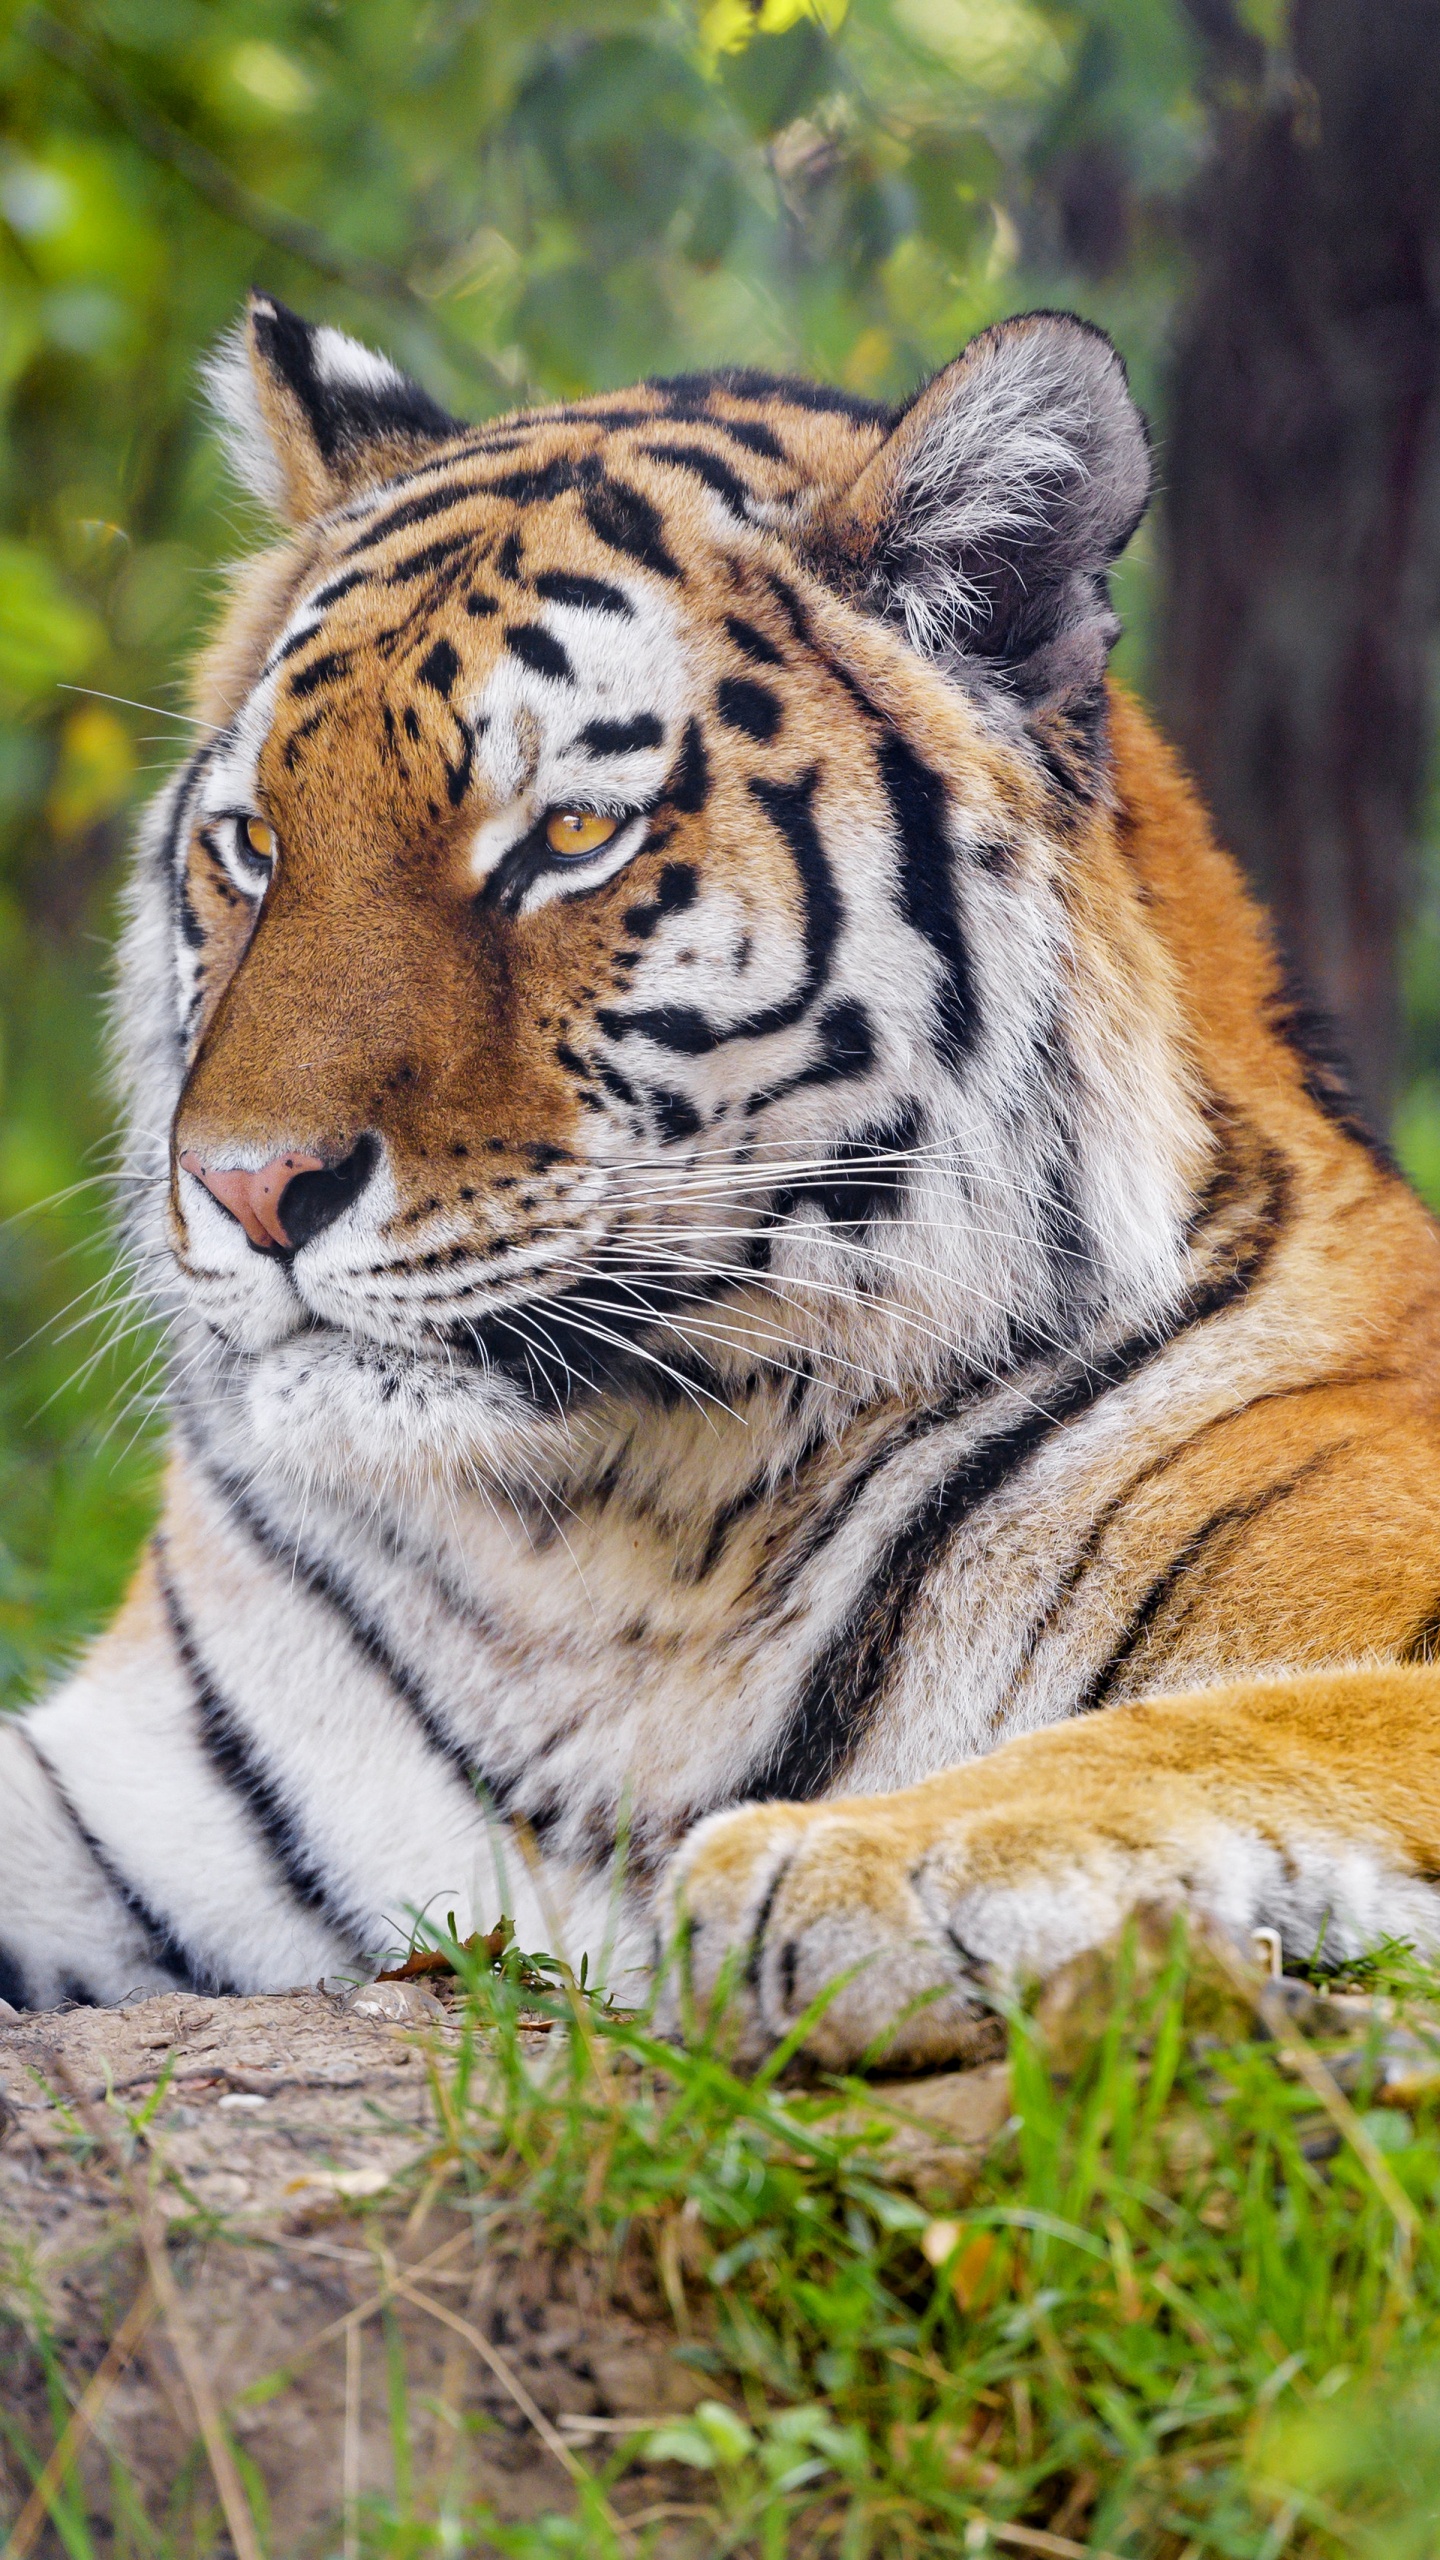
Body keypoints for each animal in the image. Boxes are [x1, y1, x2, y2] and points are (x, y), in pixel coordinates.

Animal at [4, 289, 1440, 2070]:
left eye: (568, 836)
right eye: (257, 843)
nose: (248, 1189)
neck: (607, 1555)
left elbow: (1248, 1720)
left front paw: (865, 1860)